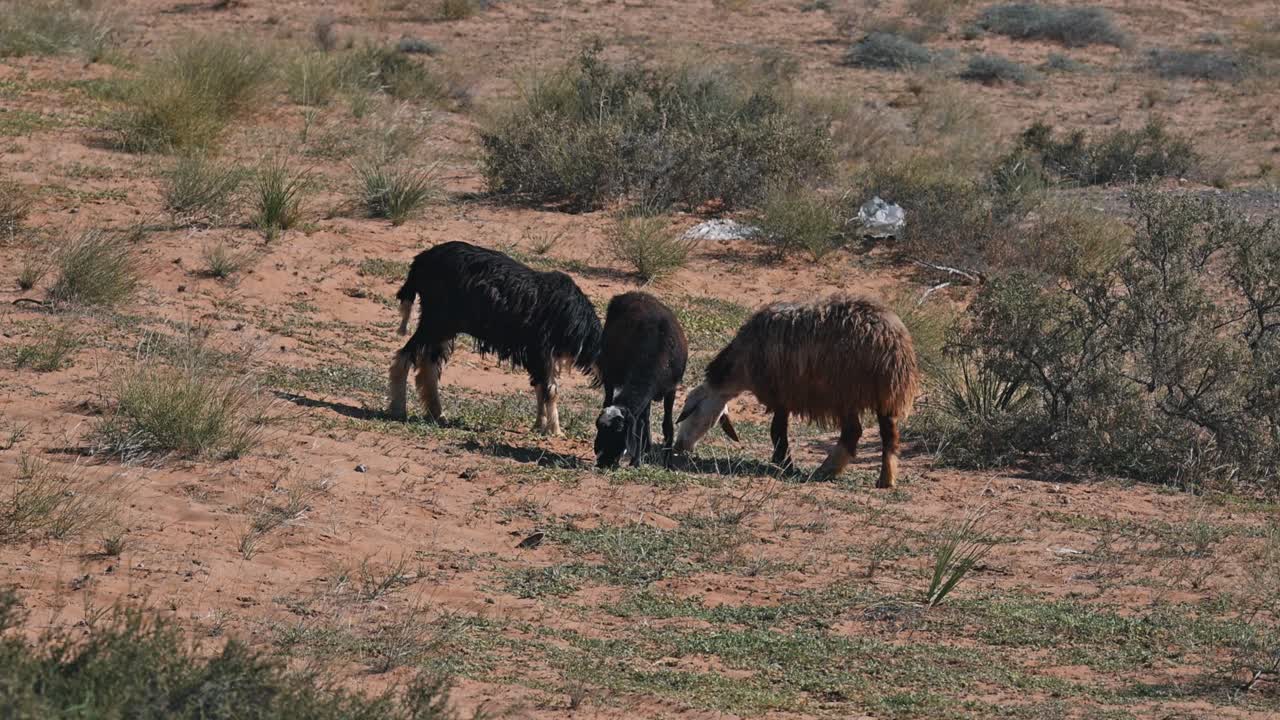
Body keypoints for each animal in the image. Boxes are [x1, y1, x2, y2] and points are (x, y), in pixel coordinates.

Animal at [388, 241, 602, 435]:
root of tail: (421, 260)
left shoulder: (537, 354)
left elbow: (540, 387)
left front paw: (539, 425)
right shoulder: (541, 350)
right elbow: (550, 389)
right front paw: (555, 430)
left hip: (443, 327)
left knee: (427, 366)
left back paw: (436, 414)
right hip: (436, 321)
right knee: (404, 357)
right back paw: (399, 409)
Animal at [593, 292, 689, 468]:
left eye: (619, 429)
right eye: (598, 427)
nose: (603, 461)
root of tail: (631, 294)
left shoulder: (671, 389)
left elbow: (666, 424)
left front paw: (667, 463)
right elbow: (639, 425)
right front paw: (636, 461)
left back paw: (647, 448)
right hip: (609, 372)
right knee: (609, 400)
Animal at [674, 295, 919, 487]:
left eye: (693, 415)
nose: (679, 447)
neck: (739, 368)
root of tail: (891, 342)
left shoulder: (780, 394)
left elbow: (777, 431)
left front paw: (785, 463)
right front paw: (783, 462)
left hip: (846, 392)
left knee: (852, 433)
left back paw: (826, 470)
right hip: (886, 394)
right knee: (889, 436)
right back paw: (885, 479)